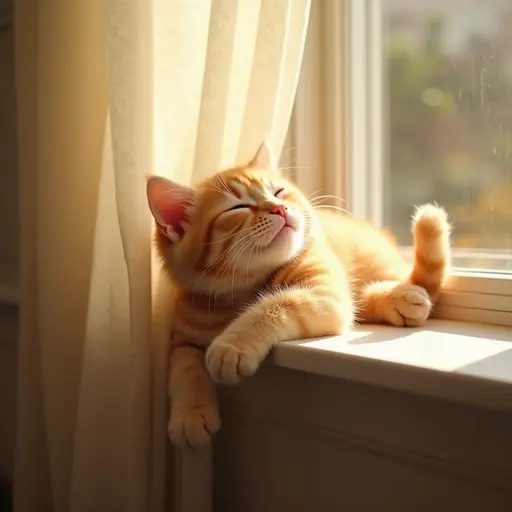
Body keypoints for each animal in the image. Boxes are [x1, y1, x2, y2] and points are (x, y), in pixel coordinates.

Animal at [146, 141, 450, 448]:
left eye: (278, 192)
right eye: (238, 207)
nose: (280, 208)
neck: (241, 291)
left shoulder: (323, 293)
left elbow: (277, 304)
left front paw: (231, 346)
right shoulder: (183, 334)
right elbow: (183, 366)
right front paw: (189, 414)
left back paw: (404, 295)